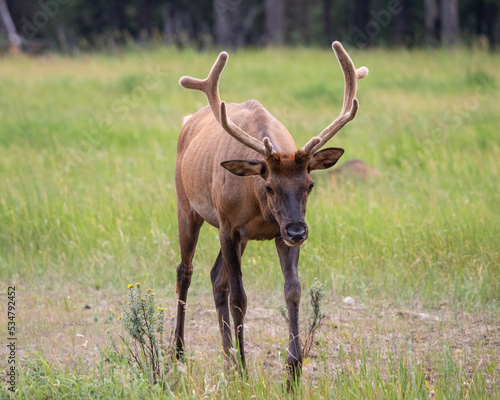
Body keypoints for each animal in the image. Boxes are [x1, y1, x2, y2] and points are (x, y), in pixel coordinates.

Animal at [175, 42, 368, 380]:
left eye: (310, 185)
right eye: (269, 186)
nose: (298, 231)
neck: (259, 209)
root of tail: (187, 122)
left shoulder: (275, 235)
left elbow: (293, 290)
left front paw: (293, 369)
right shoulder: (228, 226)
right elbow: (240, 297)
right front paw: (244, 369)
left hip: (239, 236)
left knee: (215, 278)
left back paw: (226, 358)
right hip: (186, 206)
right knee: (185, 271)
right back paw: (179, 351)